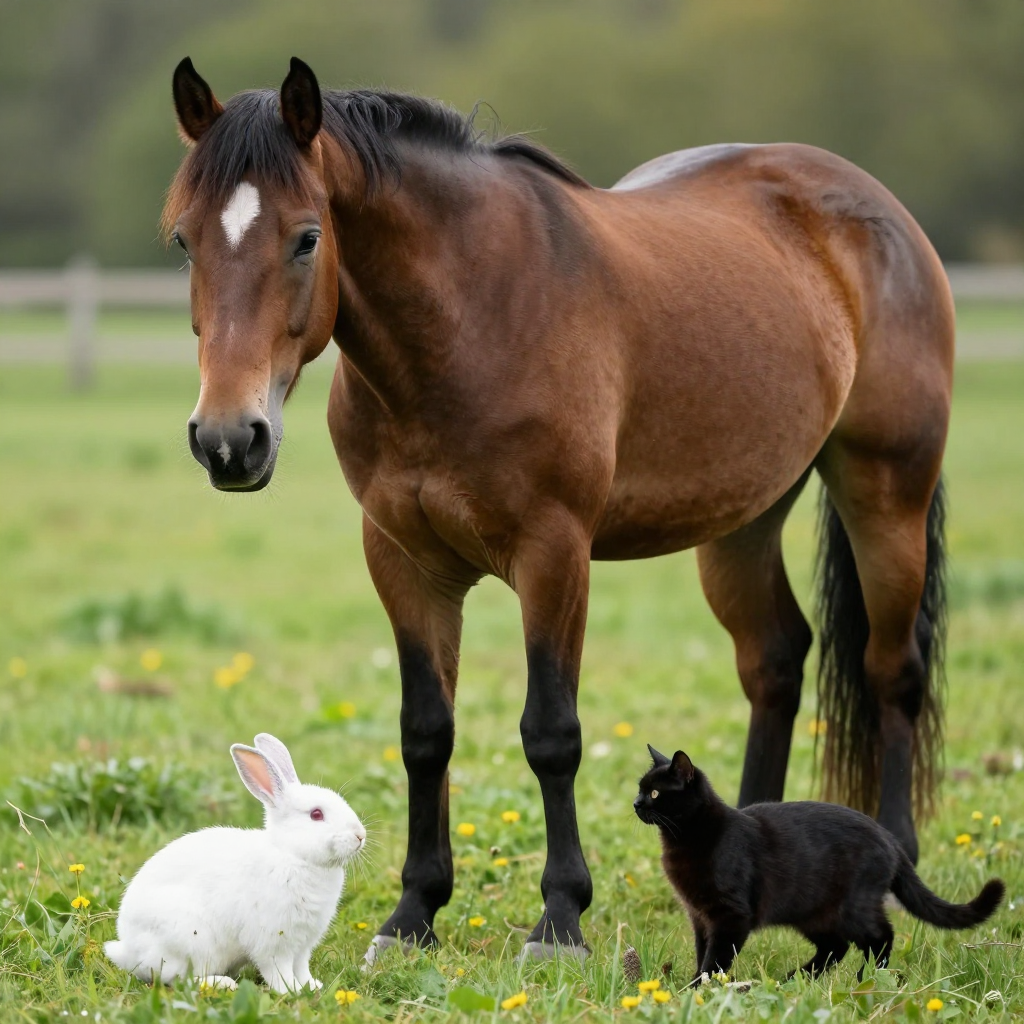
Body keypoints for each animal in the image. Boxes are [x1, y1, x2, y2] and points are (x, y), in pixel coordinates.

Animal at [104, 732, 365, 992]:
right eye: (316, 814)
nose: (360, 835)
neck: (292, 855)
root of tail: (129, 953)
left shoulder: (303, 946)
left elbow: (301, 968)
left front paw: (312, 986)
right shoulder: (273, 943)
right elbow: (278, 970)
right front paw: (291, 991)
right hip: (191, 942)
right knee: (182, 979)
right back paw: (223, 983)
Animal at [167, 57, 953, 960]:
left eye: (306, 237)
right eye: (184, 238)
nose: (230, 440)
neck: (469, 324)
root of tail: (882, 212)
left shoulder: (553, 553)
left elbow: (551, 734)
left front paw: (560, 918)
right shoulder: (402, 559)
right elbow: (425, 731)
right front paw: (413, 913)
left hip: (885, 491)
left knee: (893, 670)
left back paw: (899, 859)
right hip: (745, 518)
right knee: (775, 660)